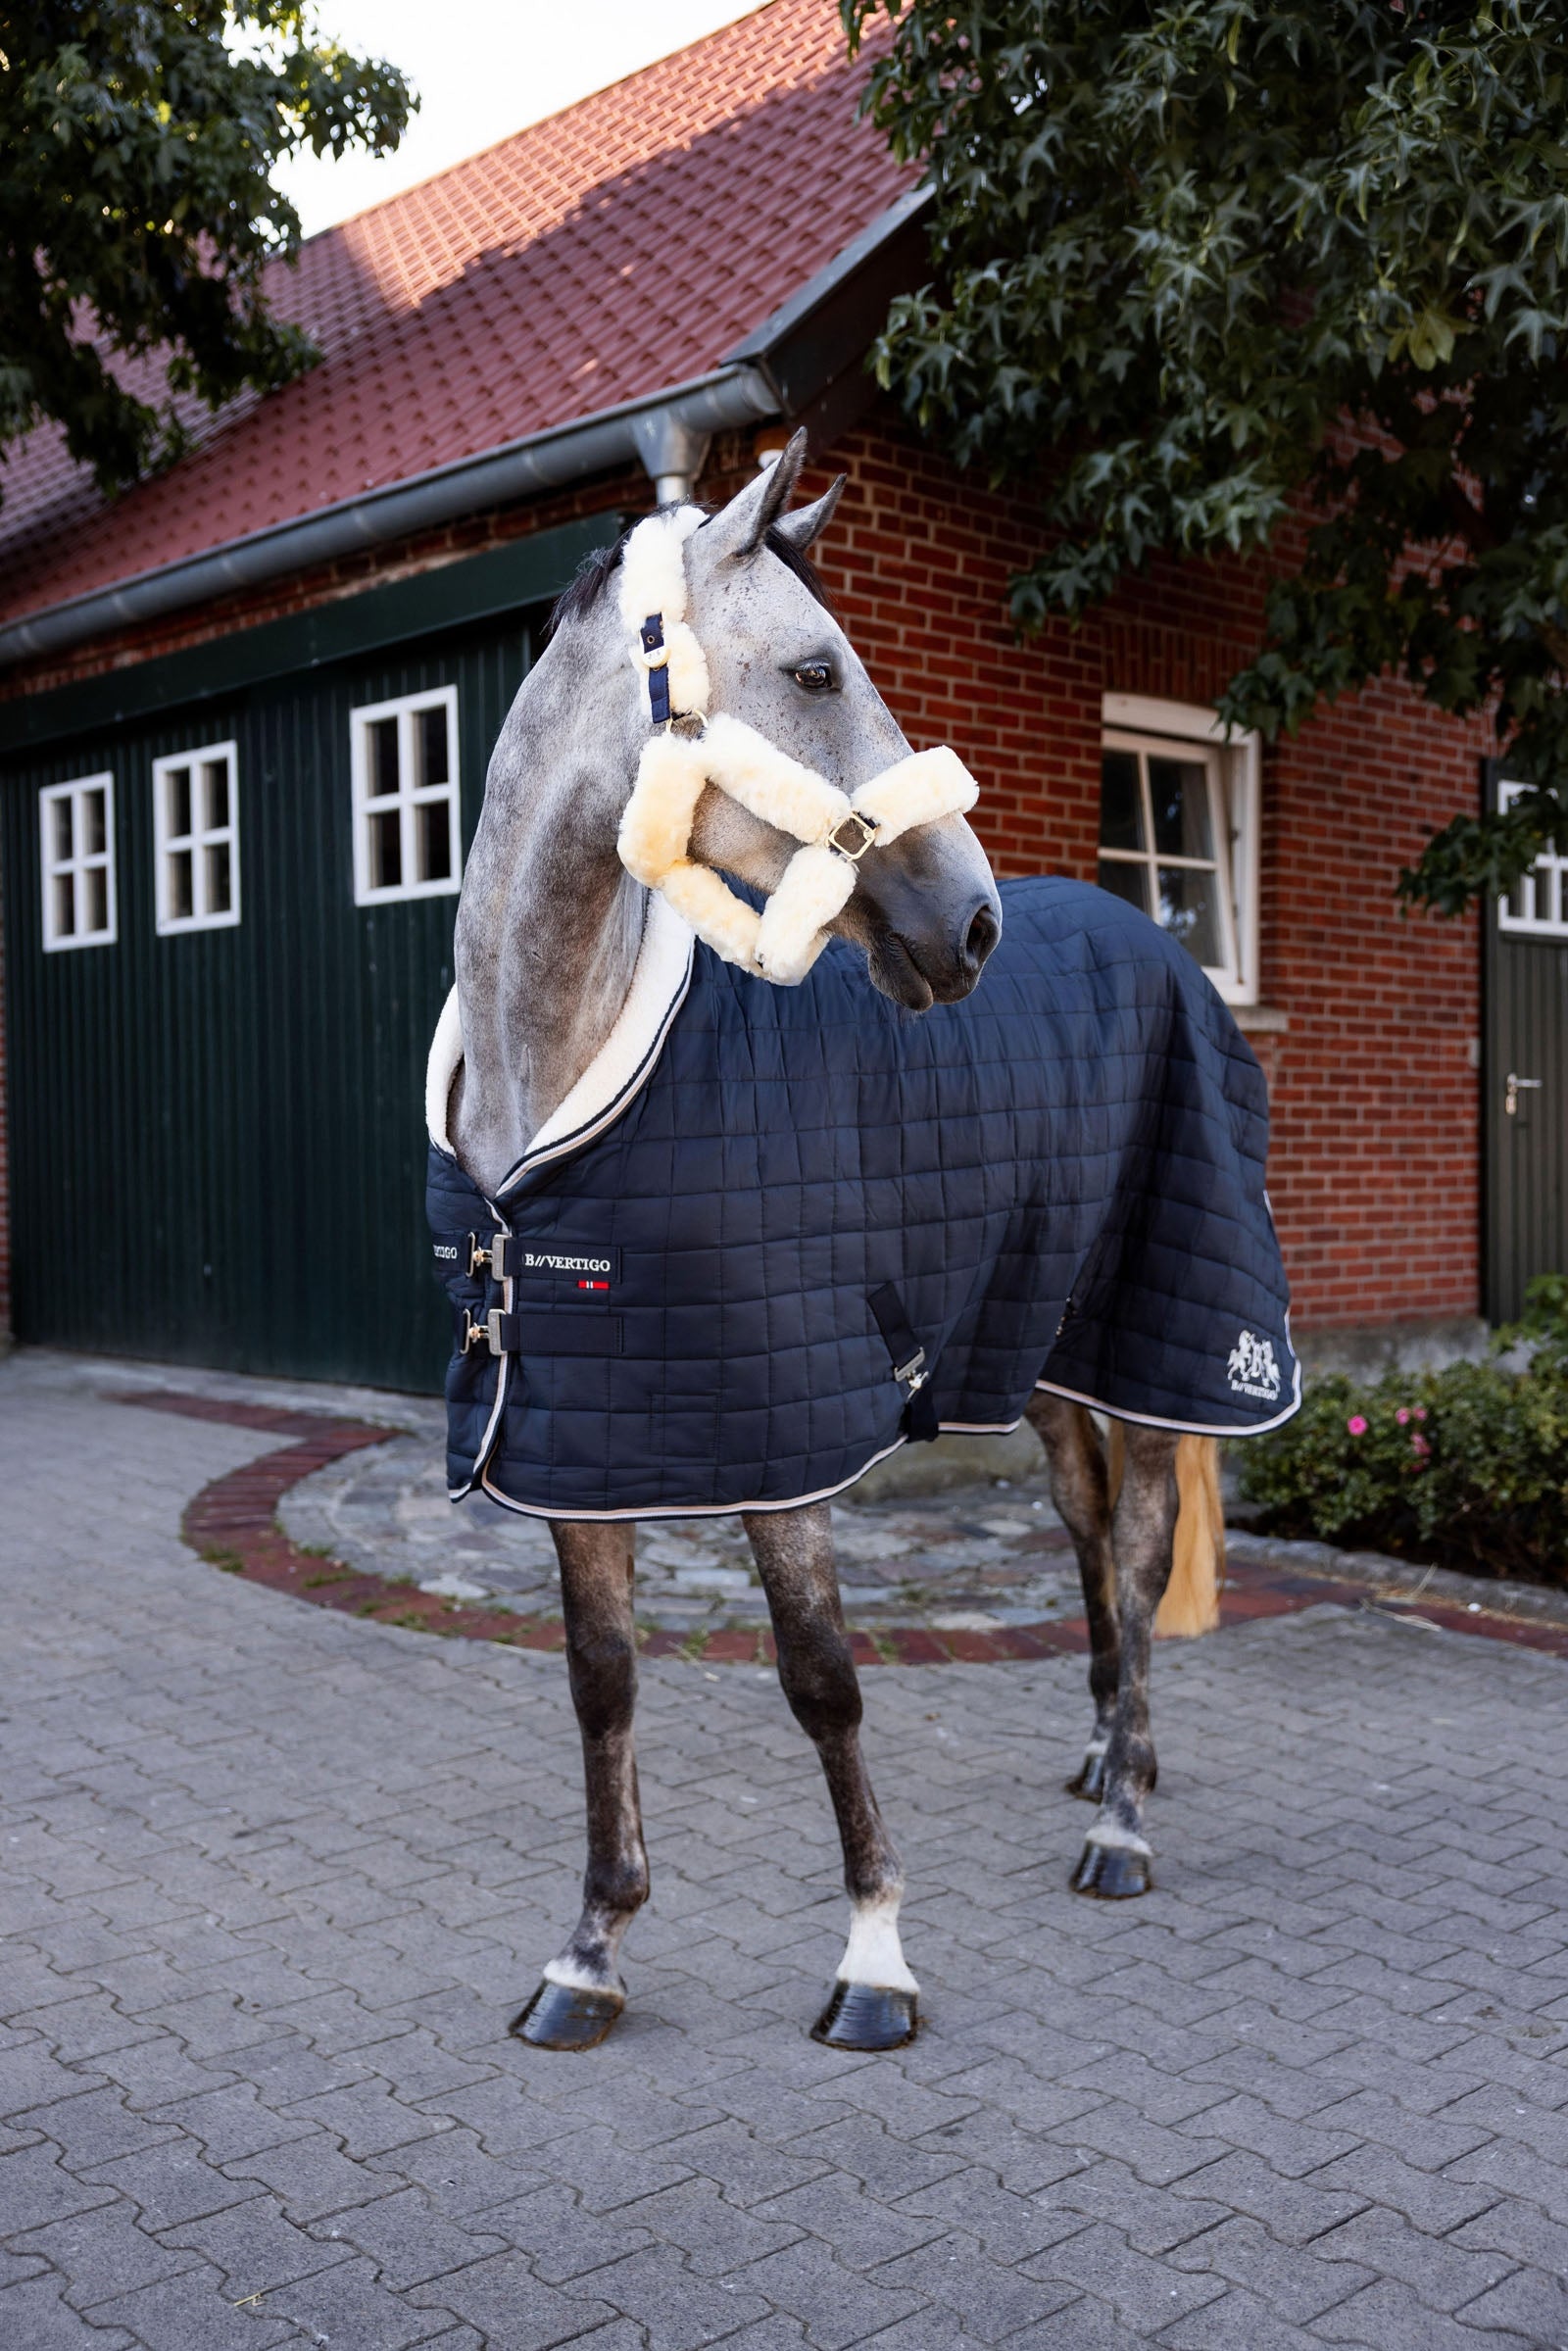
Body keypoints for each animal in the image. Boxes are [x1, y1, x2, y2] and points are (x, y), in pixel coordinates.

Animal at [426, 432, 1297, 2054]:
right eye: (817, 670)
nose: (971, 924)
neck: (559, 1077)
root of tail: (1157, 941)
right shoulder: (581, 1433)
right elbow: (601, 1681)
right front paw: (589, 1951)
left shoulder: (788, 1433)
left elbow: (823, 1679)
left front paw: (876, 1959)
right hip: (1041, 1352)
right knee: (1086, 1532)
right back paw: (1105, 1755)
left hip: (1163, 1342)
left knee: (1143, 1548)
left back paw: (1123, 1825)